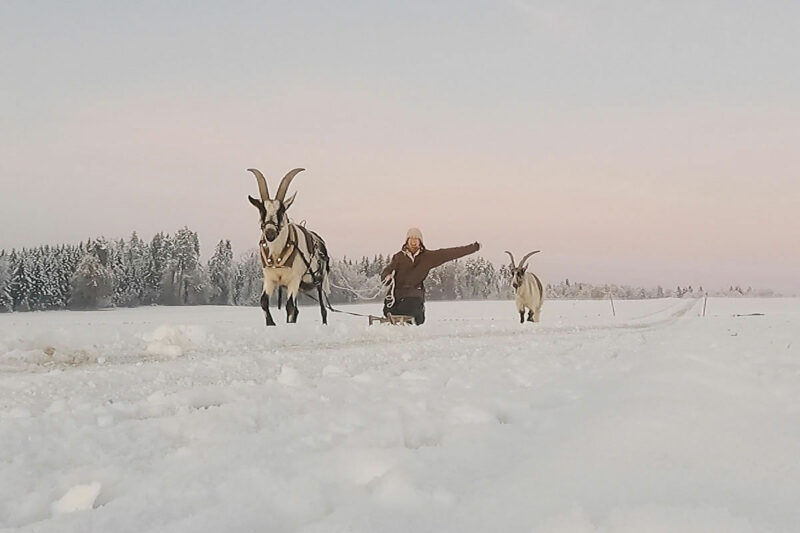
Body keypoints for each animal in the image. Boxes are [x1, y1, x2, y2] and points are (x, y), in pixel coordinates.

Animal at [245, 167, 330, 324]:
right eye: (262, 210)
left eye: (282, 210)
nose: (270, 233)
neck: (277, 254)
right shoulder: (270, 278)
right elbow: (264, 302)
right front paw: (271, 323)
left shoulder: (294, 279)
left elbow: (289, 306)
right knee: (297, 310)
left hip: (319, 281)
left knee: (323, 309)